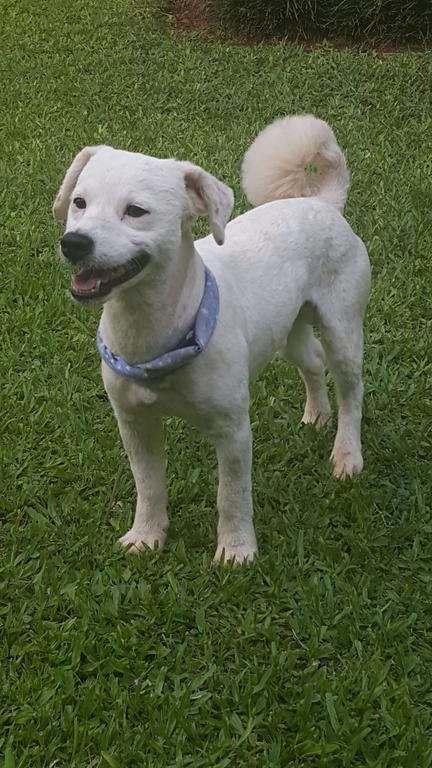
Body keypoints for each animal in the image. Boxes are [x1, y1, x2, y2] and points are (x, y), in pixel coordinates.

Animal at [54, 117, 372, 568]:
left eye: (136, 211)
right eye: (79, 202)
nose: (75, 243)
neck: (159, 335)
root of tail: (323, 202)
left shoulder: (233, 428)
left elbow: (232, 495)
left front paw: (236, 551)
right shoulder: (134, 423)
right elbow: (149, 486)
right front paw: (146, 536)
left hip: (342, 328)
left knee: (351, 392)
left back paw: (347, 454)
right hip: (287, 331)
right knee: (312, 362)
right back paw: (316, 414)